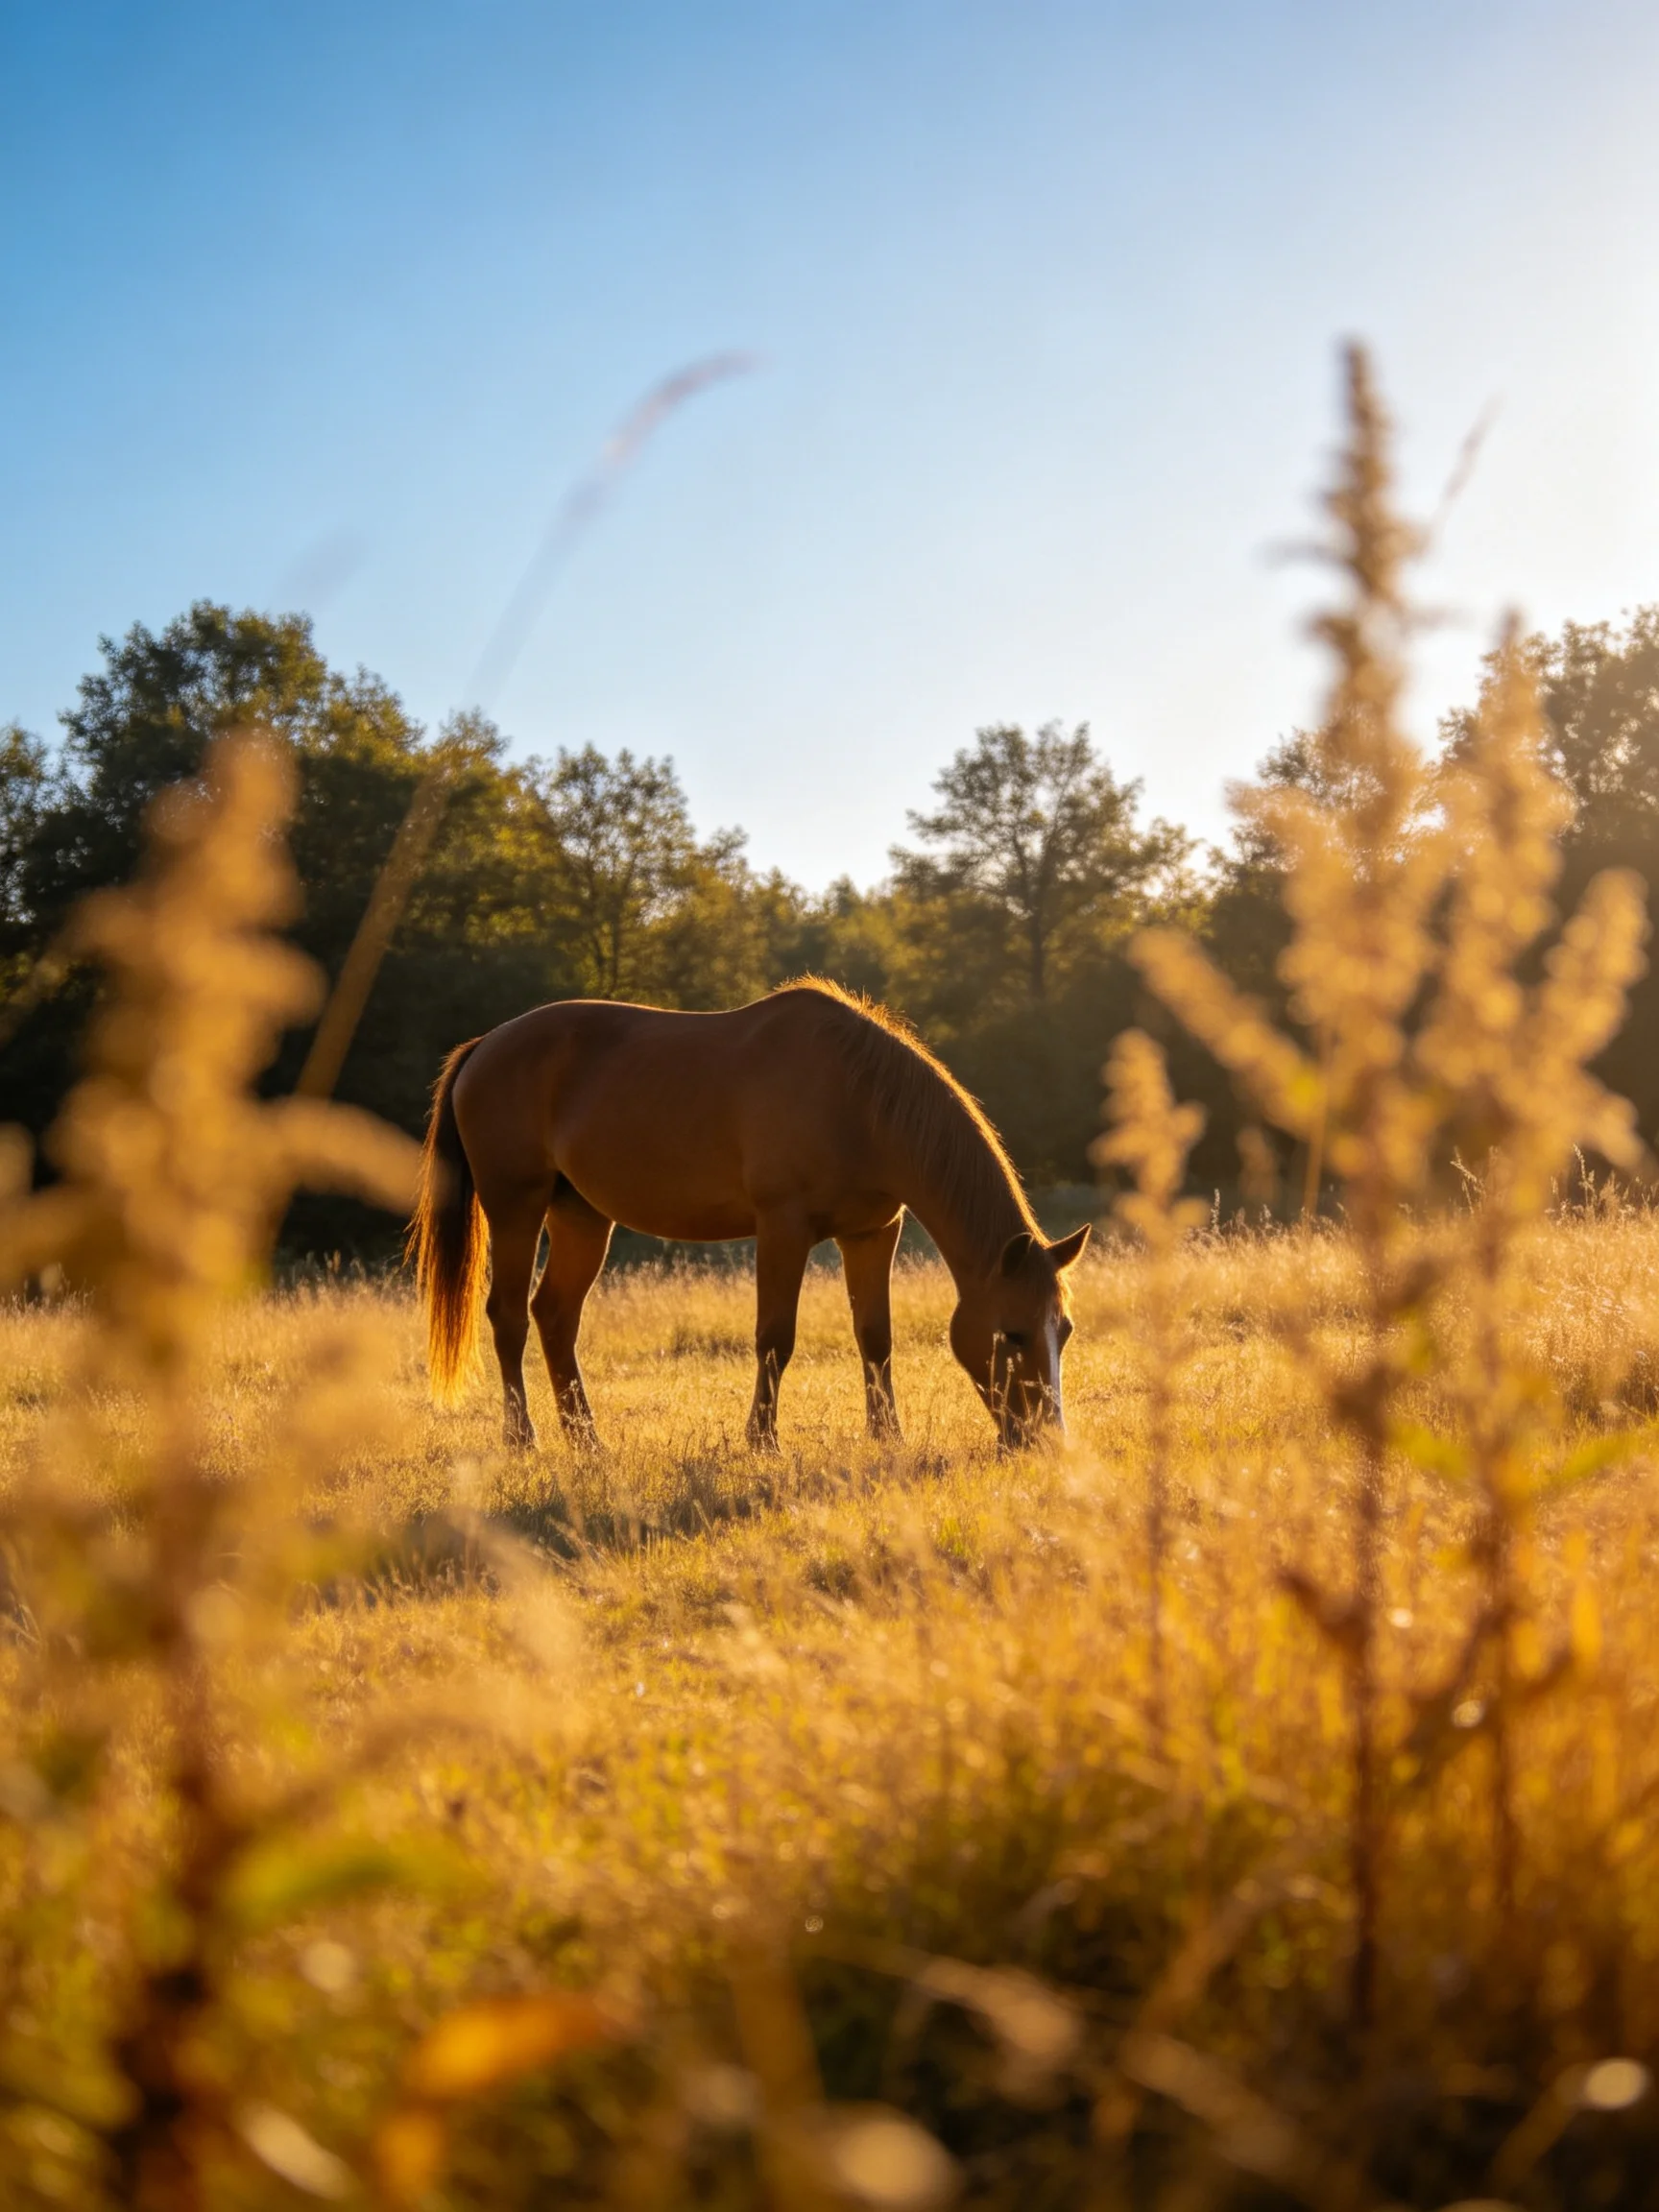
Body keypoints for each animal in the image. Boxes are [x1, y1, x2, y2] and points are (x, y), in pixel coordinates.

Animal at [409, 978, 1089, 1451]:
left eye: (1064, 1330)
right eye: (1012, 1333)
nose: (1046, 1441)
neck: (858, 1101)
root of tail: (484, 1046)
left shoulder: (873, 1233)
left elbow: (876, 1337)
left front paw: (887, 1437)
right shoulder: (782, 1228)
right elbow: (774, 1338)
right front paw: (762, 1441)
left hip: (581, 1217)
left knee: (555, 1316)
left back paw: (587, 1441)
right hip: (515, 1207)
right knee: (508, 1317)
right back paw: (523, 1439)